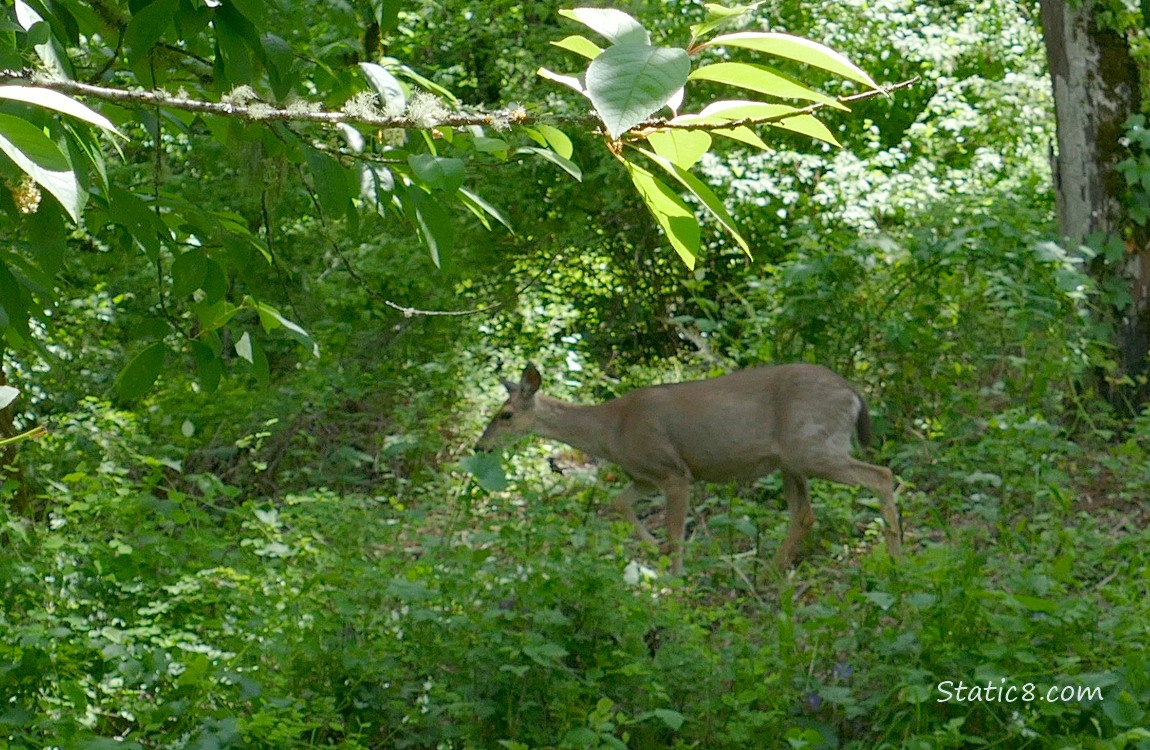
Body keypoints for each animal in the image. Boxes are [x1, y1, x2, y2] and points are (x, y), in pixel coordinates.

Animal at [475, 363, 901, 575]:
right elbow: (619, 503)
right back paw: (769, 572)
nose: (480, 446)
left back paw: (896, 560)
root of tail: (854, 393)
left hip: (812, 446)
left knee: (881, 476)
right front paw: (658, 553)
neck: (612, 431)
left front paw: (675, 583)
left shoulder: (674, 472)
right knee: (805, 513)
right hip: (791, 460)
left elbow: (676, 533)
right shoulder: (645, 476)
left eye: (505, 414)